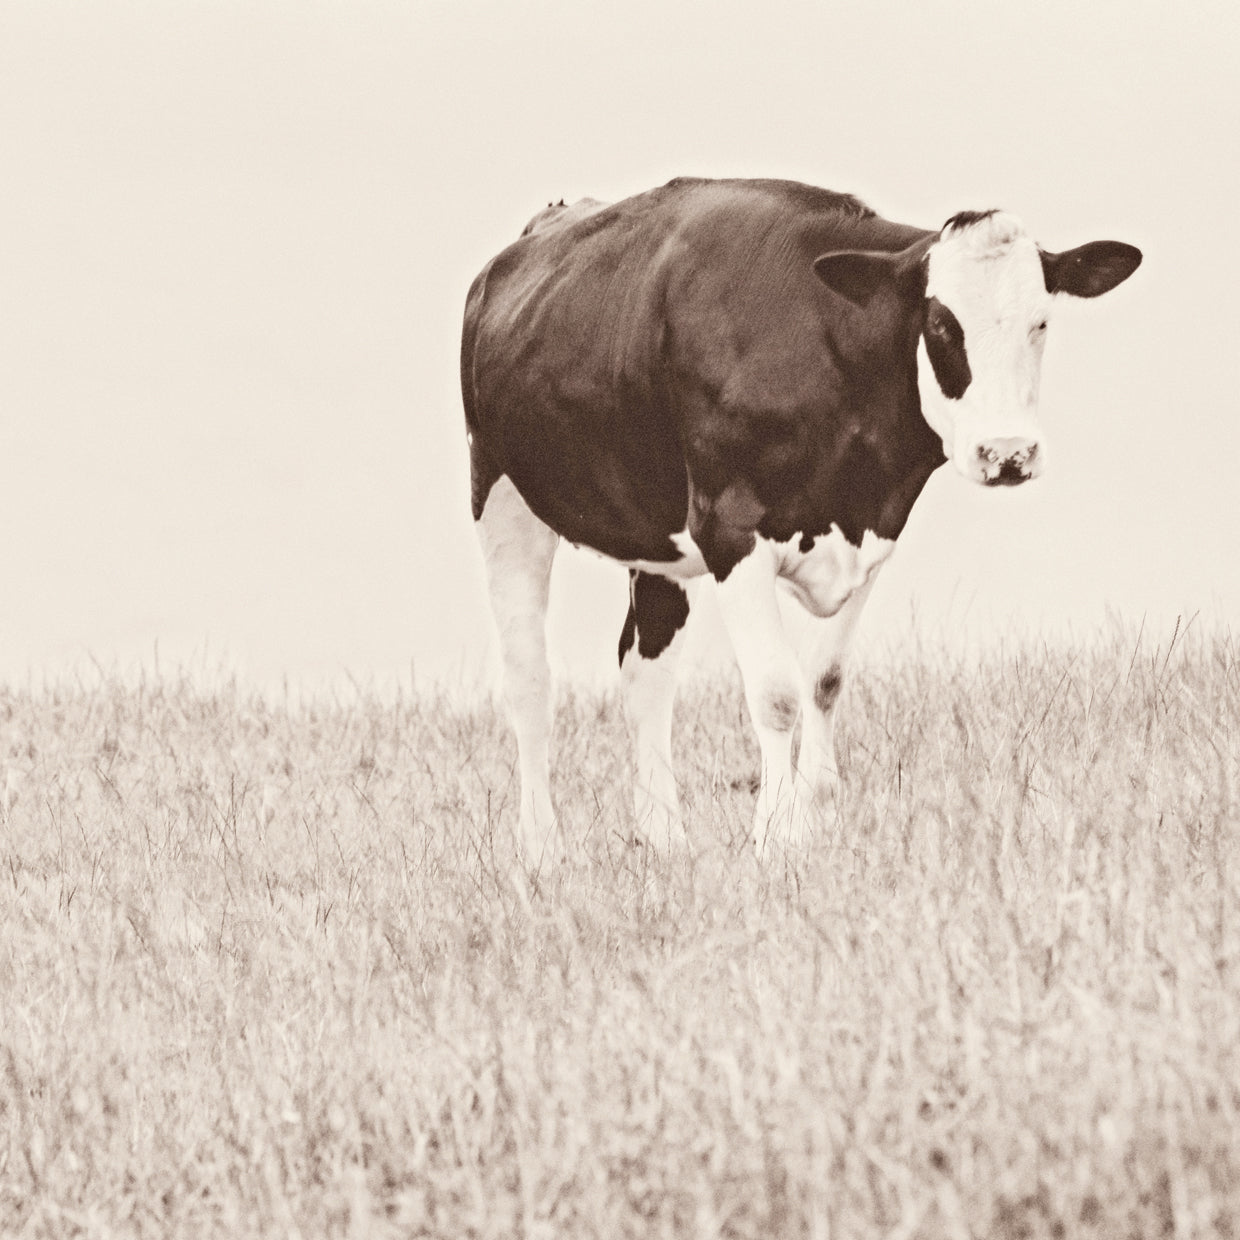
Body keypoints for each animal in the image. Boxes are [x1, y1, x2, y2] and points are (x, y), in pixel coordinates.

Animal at [460, 177, 1141, 863]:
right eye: (942, 324)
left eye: (1041, 321)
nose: (1007, 453)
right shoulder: (728, 530)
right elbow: (778, 693)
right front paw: (775, 838)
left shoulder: (872, 534)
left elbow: (824, 682)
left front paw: (817, 822)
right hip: (500, 495)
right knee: (529, 679)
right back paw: (542, 847)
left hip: (654, 535)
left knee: (644, 673)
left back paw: (665, 839)